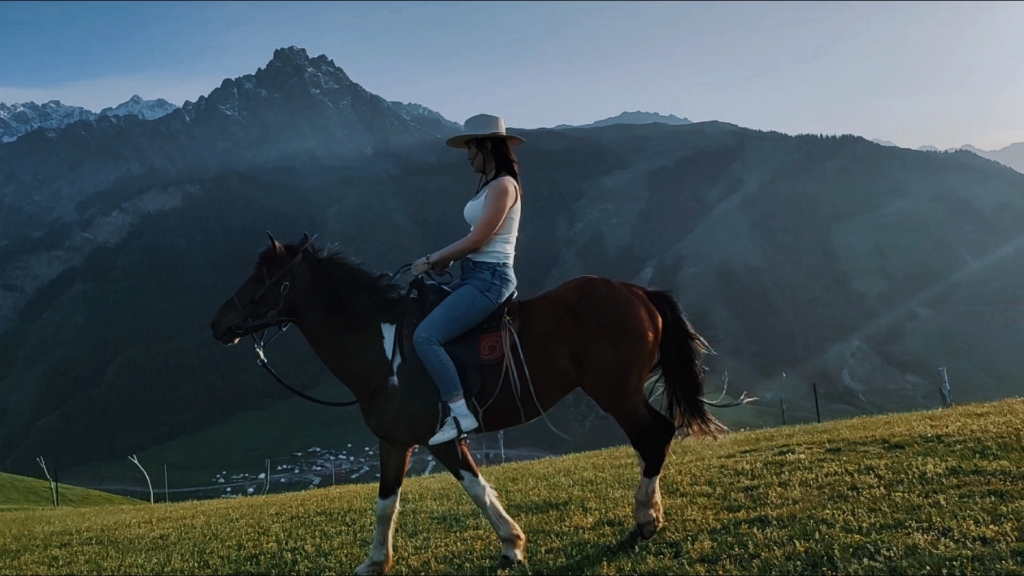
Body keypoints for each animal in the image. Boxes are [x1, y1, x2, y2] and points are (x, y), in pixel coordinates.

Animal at [209, 230, 737, 569]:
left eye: (260, 279)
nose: (218, 322)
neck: (385, 350)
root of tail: (639, 292)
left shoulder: (442, 440)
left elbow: (477, 489)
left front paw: (512, 544)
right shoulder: (393, 441)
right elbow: (384, 504)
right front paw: (376, 562)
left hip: (616, 392)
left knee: (655, 436)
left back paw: (646, 519)